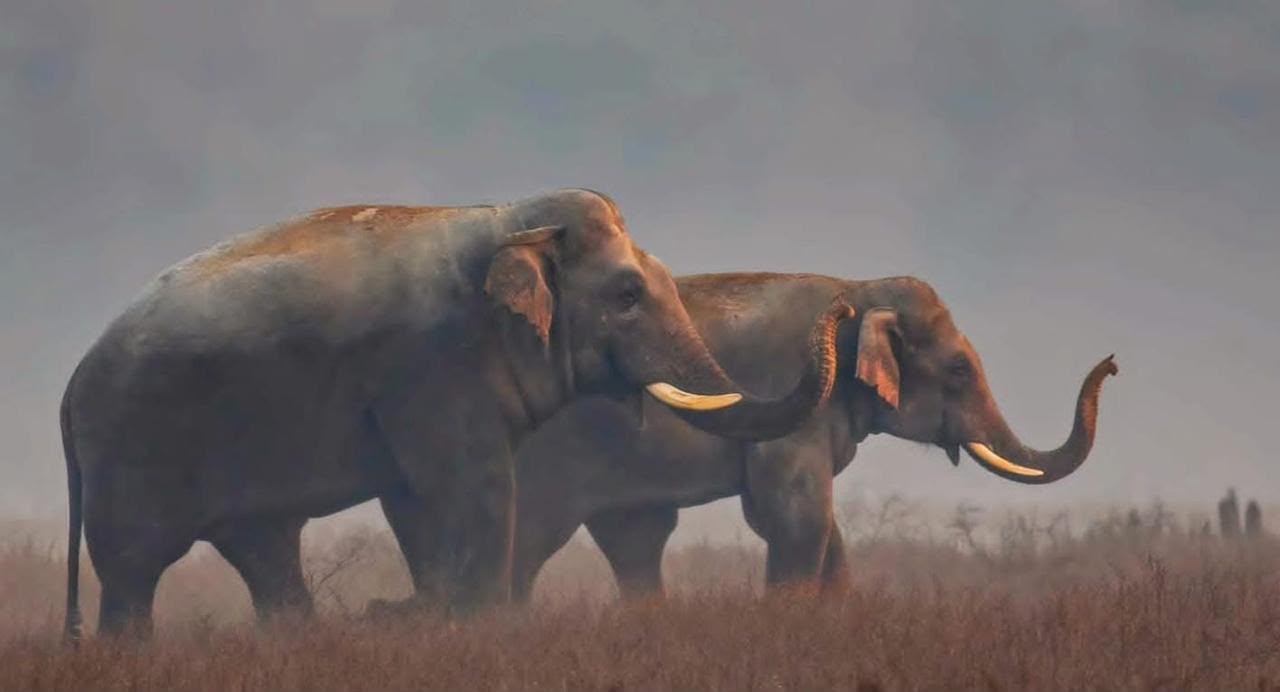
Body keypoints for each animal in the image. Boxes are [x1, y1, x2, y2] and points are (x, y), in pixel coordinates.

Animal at [60, 190, 854, 637]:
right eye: (627, 295)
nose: (842, 309)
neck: (505, 223)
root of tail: (69, 391)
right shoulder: (435, 366)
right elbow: (473, 488)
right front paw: (470, 628)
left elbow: (415, 502)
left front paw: (418, 615)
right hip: (132, 451)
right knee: (132, 567)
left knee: (263, 547)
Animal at [510, 272, 1117, 600]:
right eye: (960, 370)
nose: (1111, 363)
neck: (858, 290)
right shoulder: (791, 405)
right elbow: (796, 516)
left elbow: (808, 523)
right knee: (535, 540)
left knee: (635, 538)